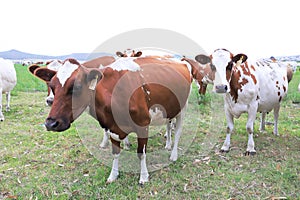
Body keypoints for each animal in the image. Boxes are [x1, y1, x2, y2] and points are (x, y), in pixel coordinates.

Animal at [32, 56, 191, 184]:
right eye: (51, 86)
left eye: (76, 87)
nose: (50, 123)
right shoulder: (111, 126)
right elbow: (115, 153)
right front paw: (113, 175)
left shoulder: (143, 124)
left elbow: (141, 153)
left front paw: (144, 177)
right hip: (169, 110)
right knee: (169, 126)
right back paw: (168, 145)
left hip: (182, 108)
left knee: (177, 132)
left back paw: (173, 154)